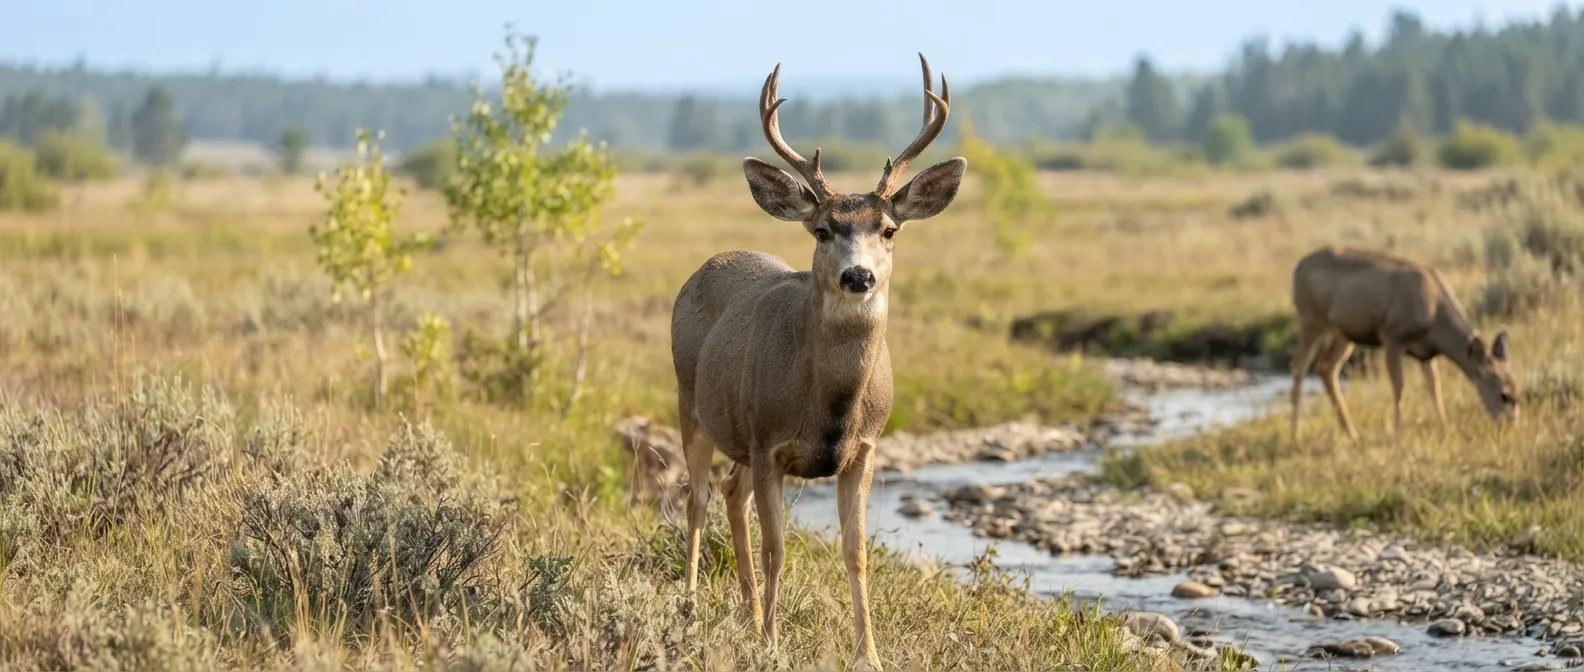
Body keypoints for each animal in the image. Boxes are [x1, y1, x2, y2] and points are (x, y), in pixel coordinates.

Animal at [669, 54, 965, 670]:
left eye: (889, 229)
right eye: (823, 229)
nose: (859, 275)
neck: (830, 402)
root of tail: (707, 263)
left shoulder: (864, 448)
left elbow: (856, 553)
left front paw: (868, 653)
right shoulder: (769, 442)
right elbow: (778, 548)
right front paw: (771, 645)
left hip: (738, 435)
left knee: (730, 495)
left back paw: (747, 612)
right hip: (693, 405)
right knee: (698, 498)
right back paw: (690, 606)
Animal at [1289, 245, 1520, 442]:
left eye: (1518, 393)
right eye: (1504, 395)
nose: (1509, 427)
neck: (1435, 314)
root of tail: (1297, 268)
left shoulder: (1426, 352)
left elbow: (1434, 386)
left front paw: (1444, 432)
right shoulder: (1392, 337)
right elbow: (1400, 387)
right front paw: (1398, 435)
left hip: (1344, 333)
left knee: (1326, 367)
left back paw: (1353, 435)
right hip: (1311, 320)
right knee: (1299, 366)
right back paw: (1296, 434)